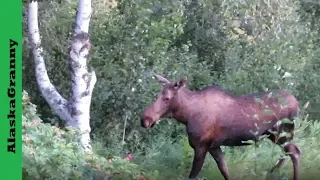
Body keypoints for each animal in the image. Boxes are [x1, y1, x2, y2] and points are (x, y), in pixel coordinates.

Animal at [139, 74, 300, 180]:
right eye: (156, 96)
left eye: (167, 98)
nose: (145, 119)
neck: (187, 116)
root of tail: (297, 103)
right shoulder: (214, 146)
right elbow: (224, 169)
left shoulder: (201, 146)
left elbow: (193, 175)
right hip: (274, 135)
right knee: (288, 153)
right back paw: (271, 172)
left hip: (283, 132)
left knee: (294, 152)